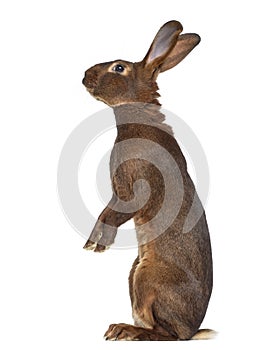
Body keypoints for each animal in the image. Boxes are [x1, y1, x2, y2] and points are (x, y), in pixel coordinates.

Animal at [82, 19, 215, 342]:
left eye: (118, 68)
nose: (84, 75)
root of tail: (193, 329)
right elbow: (107, 212)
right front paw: (94, 242)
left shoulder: (132, 189)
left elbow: (113, 215)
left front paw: (96, 245)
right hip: (135, 273)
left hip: (147, 277)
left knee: (166, 334)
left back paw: (124, 330)